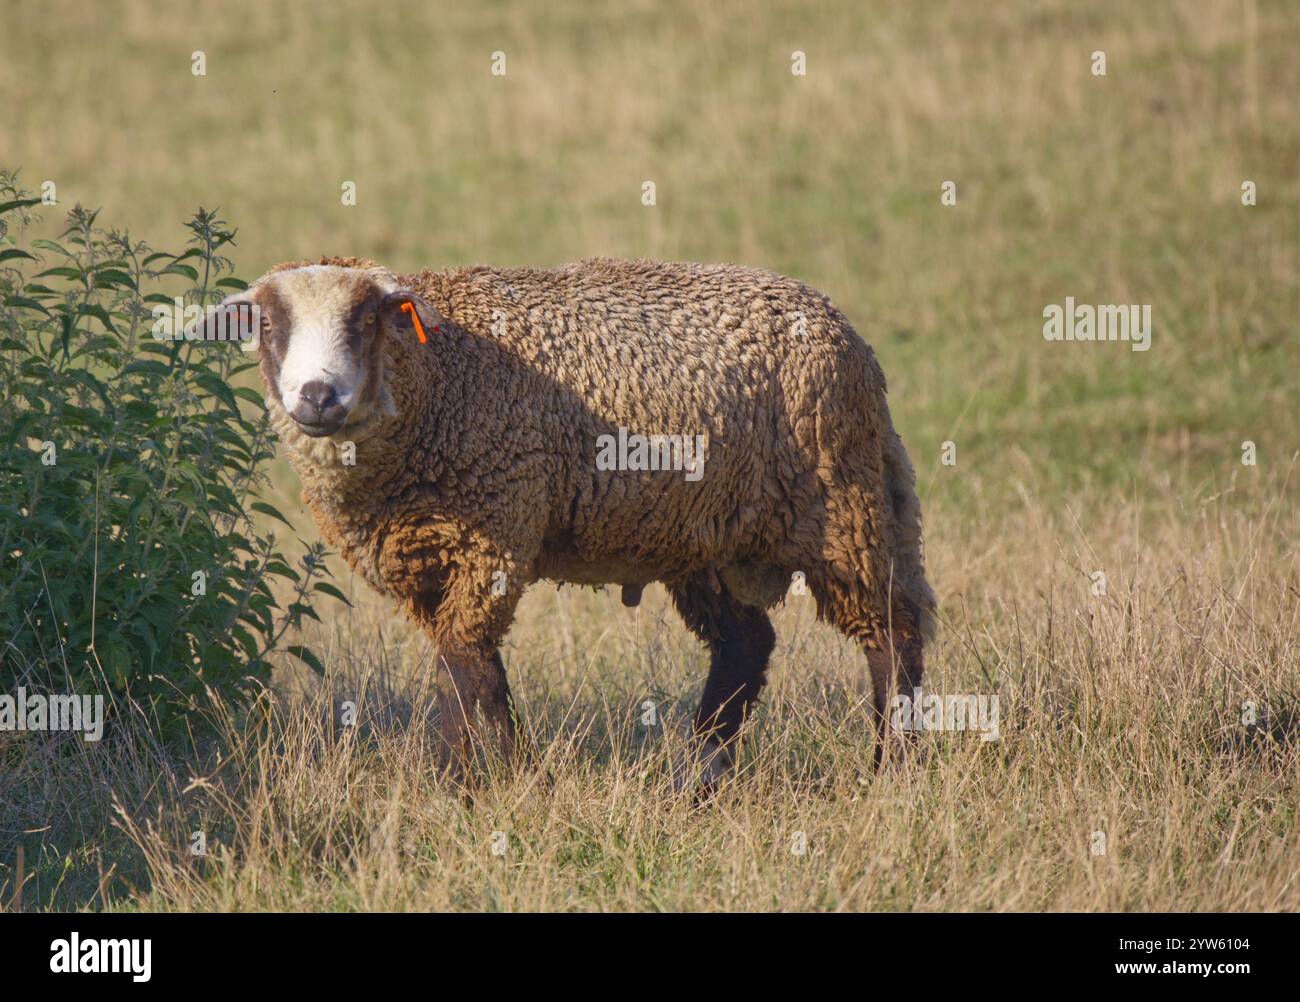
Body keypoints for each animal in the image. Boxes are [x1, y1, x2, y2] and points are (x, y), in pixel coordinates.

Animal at [192, 257, 935, 784]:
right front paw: (501, 774)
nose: (318, 396)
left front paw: (464, 783)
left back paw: (889, 771)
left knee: (891, 636)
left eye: (368, 320)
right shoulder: (431, 558)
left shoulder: (491, 535)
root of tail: (848, 335)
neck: (437, 381)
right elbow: (473, 670)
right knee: (745, 647)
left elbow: (463, 667)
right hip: (707, 536)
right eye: (268, 325)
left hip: (838, 506)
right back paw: (697, 779)